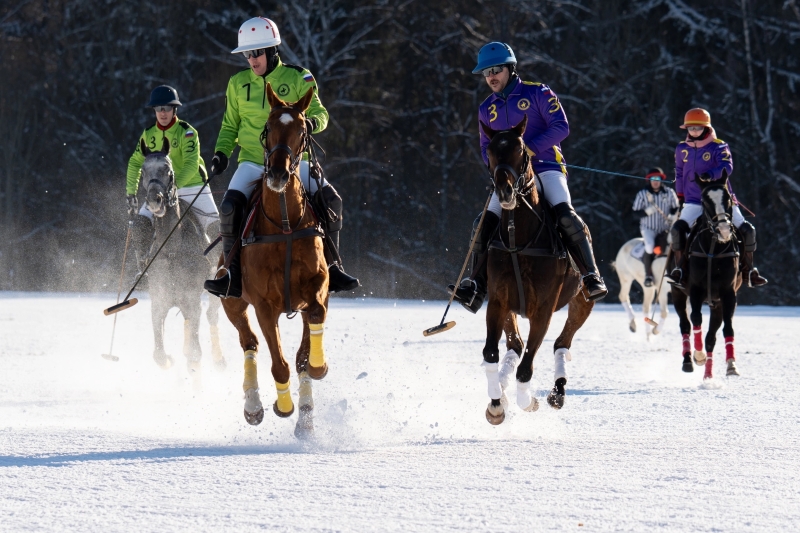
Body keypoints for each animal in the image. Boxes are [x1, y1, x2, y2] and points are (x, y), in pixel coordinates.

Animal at [138, 141, 225, 374]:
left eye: (168, 170)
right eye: (143, 171)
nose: (155, 201)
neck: (172, 249)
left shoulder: (192, 301)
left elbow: (194, 354)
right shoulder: (159, 301)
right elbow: (159, 354)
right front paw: (170, 359)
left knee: (212, 316)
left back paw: (219, 359)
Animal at [216, 84, 328, 436]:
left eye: (303, 130)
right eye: (268, 127)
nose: (277, 175)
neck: (285, 224)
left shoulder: (319, 288)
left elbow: (307, 345)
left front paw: (318, 369)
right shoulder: (264, 305)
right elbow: (279, 365)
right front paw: (284, 406)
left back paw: (305, 415)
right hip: (232, 301)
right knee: (249, 343)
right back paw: (253, 407)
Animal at [476, 116, 592, 424]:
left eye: (520, 150)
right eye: (489, 151)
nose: (504, 192)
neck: (519, 237)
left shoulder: (543, 309)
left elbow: (526, 367)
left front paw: (528, 402)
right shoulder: (498, 300)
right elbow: (491, 353)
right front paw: (496, 404)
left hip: (583, 301)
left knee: (562, 343)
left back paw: (557, 393)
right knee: (515, 345)